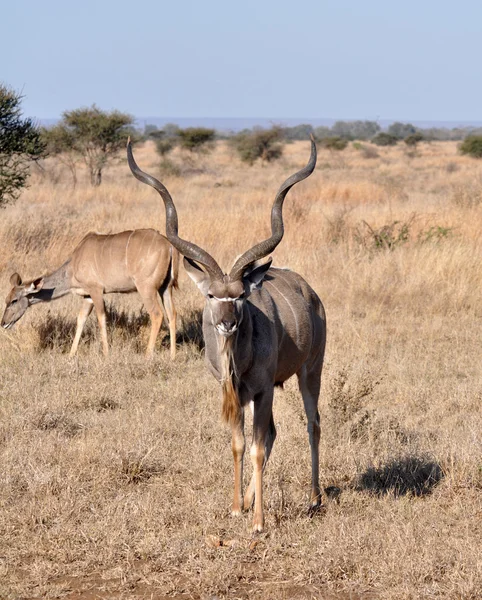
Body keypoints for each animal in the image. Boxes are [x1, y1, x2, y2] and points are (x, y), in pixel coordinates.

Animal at [1, 230, 179, 358]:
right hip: (165, 288)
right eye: (6, 300)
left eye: (14, 300)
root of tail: (169, 246)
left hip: (146, 288)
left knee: (157, 314)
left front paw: (106, 354)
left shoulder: (96, 291)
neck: (72, 267)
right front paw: (71, 355)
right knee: (172, 314)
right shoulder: (87, 297)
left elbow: (101, 318)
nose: (3, 323)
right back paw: (172, 356)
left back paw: (148, 355)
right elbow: (81, 319)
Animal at [126, 136, 326, 528]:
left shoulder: (263, 390)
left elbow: (258, 448)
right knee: (275, 433)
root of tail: (310, 292)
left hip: (310, 371)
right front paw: (237, 507)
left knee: (312, 424)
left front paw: (259, 522)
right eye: (211, 295)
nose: (227, 322)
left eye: (241, 295)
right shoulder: (234, 392)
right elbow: (240, 444)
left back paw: (313, 499)